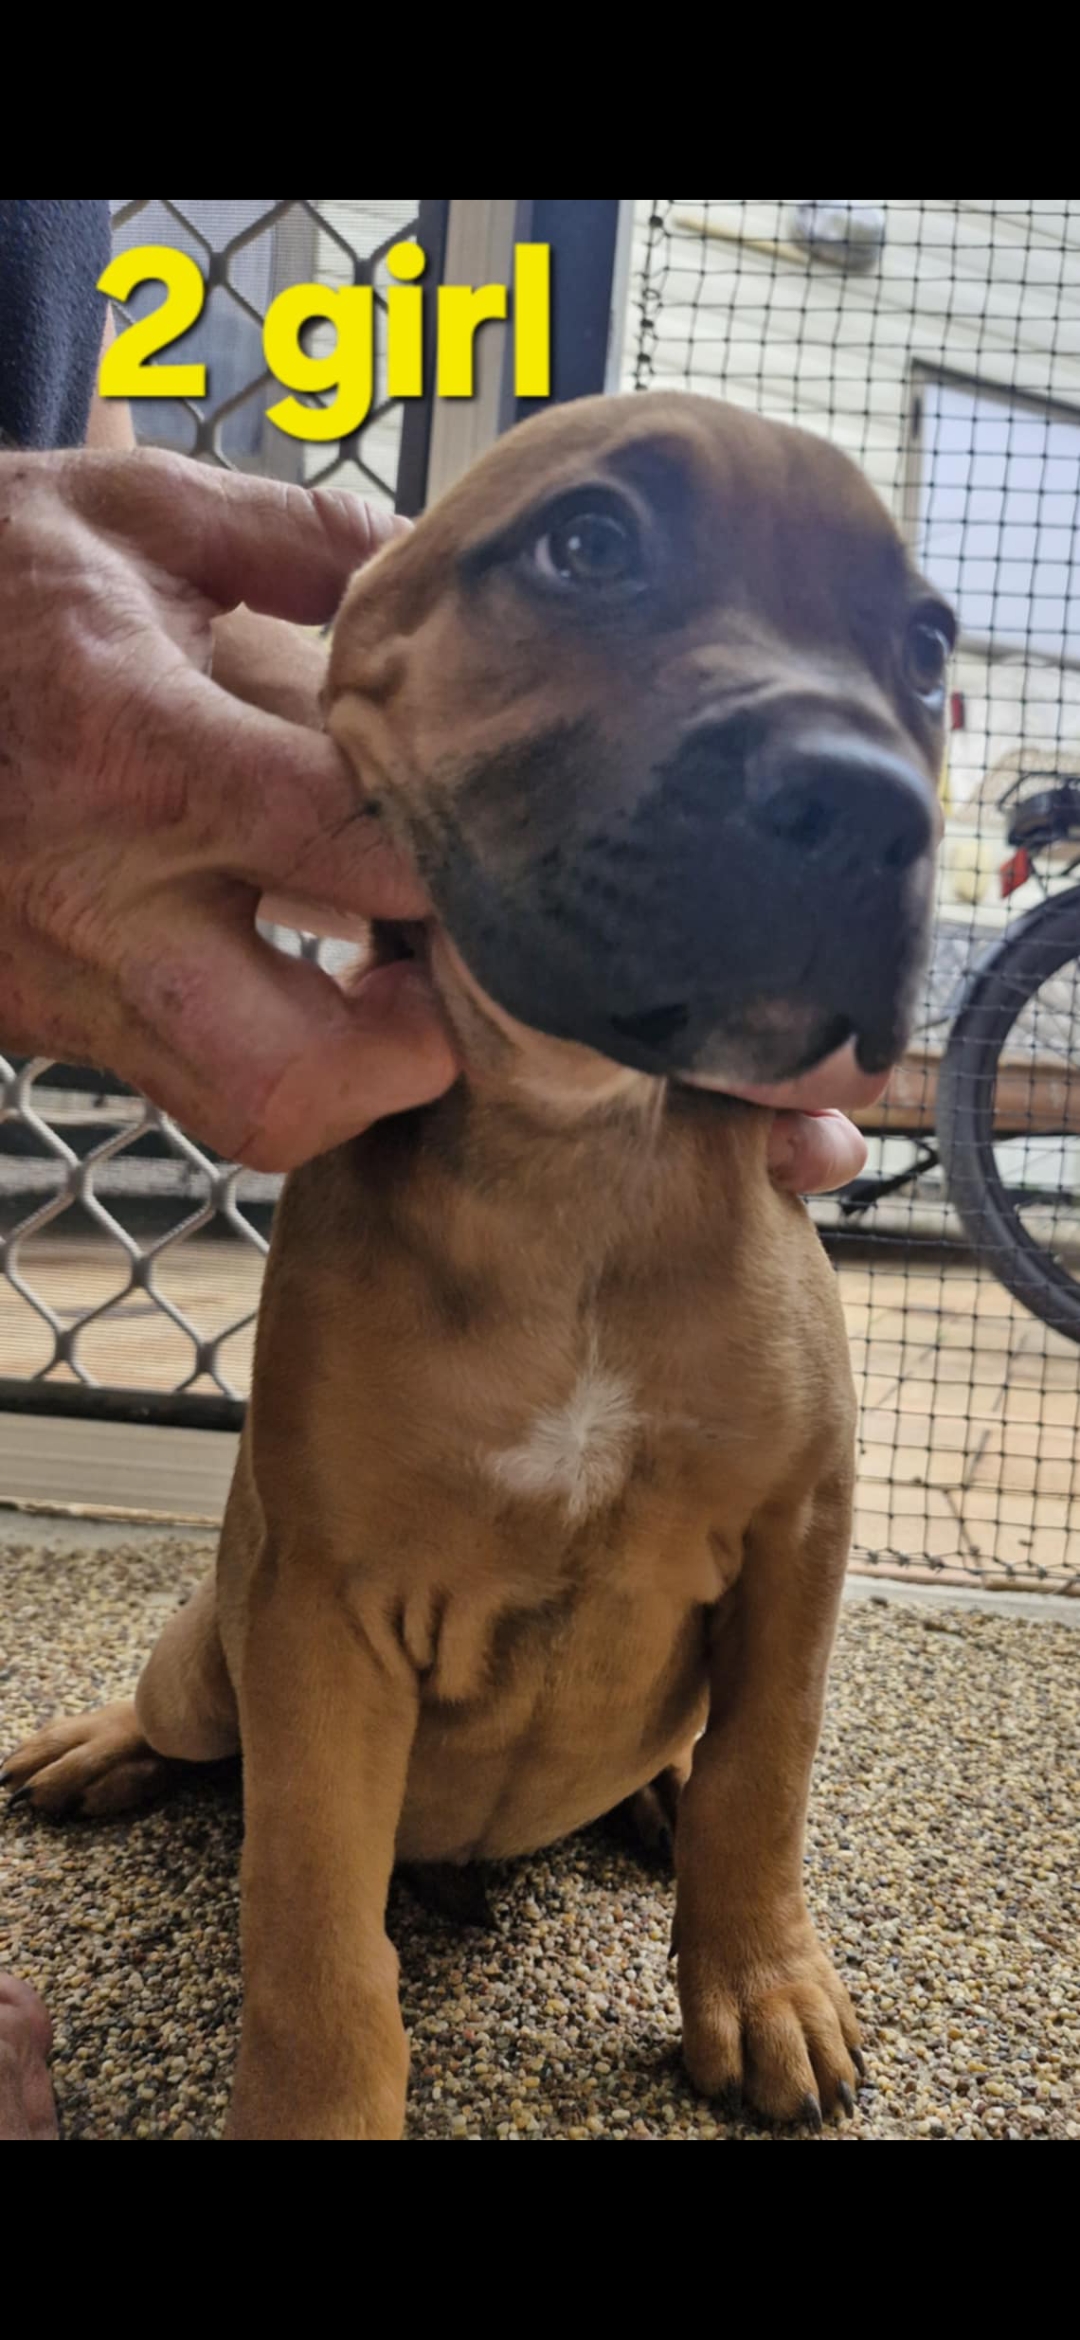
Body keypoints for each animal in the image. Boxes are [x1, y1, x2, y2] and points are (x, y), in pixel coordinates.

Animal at [4, 392, 952, 2140]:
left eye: (926, 648)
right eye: (588, 545)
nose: (870, 805)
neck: (578, 1148)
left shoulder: (798, 1541)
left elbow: (767, 1777)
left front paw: (763, 1989)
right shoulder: (321, 1614)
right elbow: (308, 1907)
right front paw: (315, 2104)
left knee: (701, 1759)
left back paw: (655, 1800)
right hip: (211, 1656)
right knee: (188, 1725)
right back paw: (102, 1747)